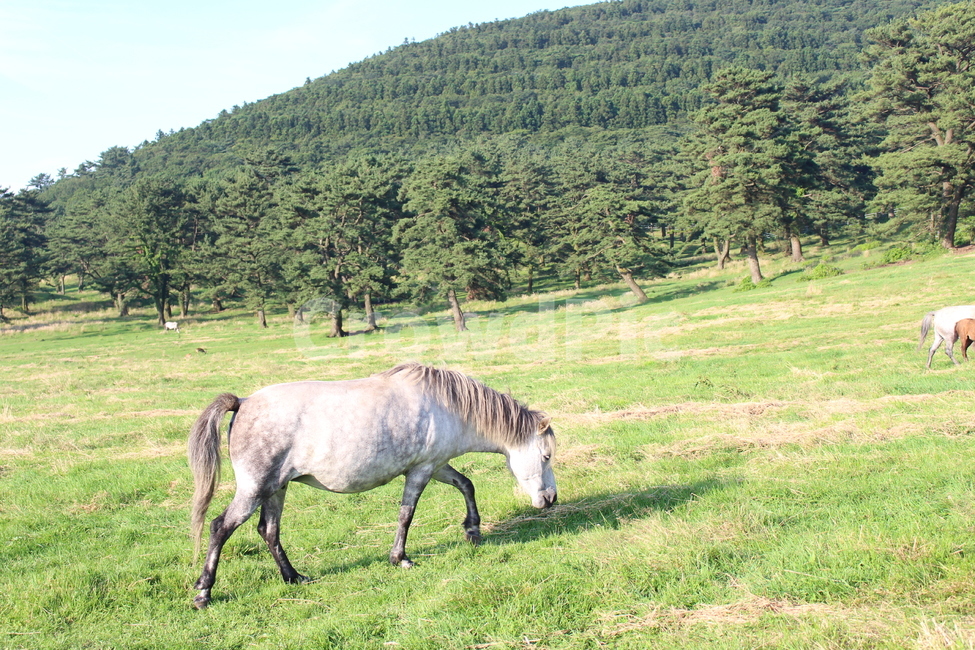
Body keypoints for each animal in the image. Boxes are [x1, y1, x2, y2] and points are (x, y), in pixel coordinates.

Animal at [187, 362, 557, 609]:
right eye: (547, 455)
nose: (550, 498)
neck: (447, 406)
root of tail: (243, 401)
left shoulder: (436, 465)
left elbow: (466, 485)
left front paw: (473, 530)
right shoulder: (421, 471)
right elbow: (406, 515)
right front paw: (400, 558)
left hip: (276, 488)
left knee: (269, 530)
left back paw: (293, 577)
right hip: (254, 489)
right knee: (221, 527)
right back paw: (204, 592)